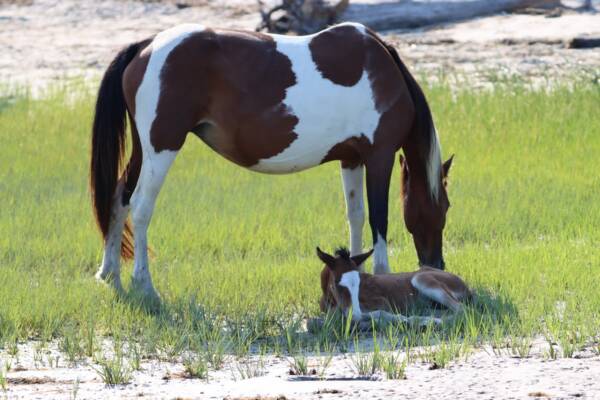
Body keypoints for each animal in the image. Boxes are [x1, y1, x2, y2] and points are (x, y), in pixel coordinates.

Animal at [91, 21, 452, 300]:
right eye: (446, 206)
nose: (438, 265)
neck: (381, 70)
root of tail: (147, 46)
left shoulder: (351, 159)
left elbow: (356, 215)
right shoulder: (379, 156)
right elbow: (379, 219)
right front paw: (383, 274)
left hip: (145, 150)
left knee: (120, 197)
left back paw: (110, 275)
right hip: (163, 147)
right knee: (140, 208)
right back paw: (144, 285)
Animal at [316, 245, 472, 326]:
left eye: (359, 281)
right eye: (337, 284)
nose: (354, 313)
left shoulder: (382, 303)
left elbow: (378, 313)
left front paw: (404, 319)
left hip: (421, 279)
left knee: (462, 309)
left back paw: (431, 321)